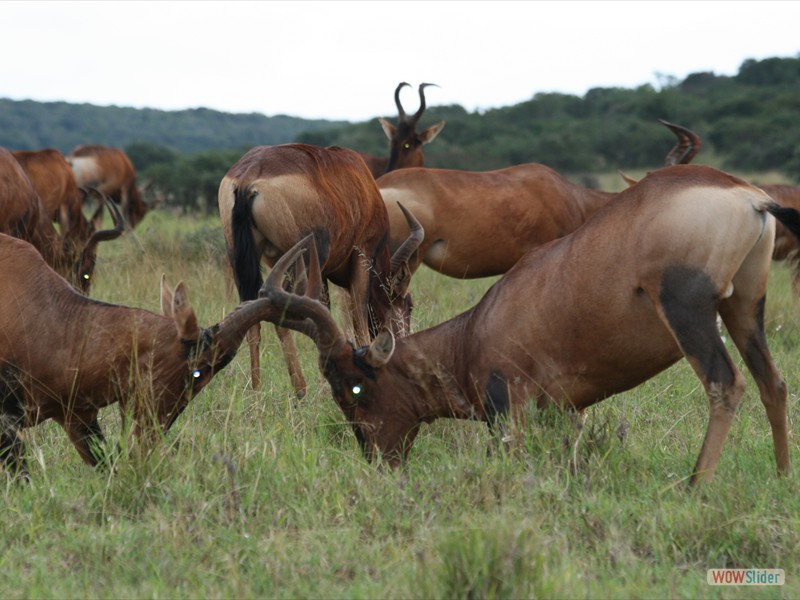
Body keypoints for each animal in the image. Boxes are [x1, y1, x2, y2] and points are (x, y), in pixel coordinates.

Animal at [216, 143, 422, 396]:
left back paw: (256, 392)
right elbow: (357, 314)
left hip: (241, 258)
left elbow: (324, 309)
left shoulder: (321, 272)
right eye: (408, 304)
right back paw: (300, 389)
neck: (362, 183)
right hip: (300, 260)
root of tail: (249, 176)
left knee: (251, 314)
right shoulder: (361, 256)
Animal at [260, 165, 796, 488]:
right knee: (773, 382)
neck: (477, 328)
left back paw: (693, 486)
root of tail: (750, 198)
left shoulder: (509, 410)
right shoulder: (565, 412)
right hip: (745, 306)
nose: (380, 464)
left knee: (726, 384)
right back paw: (782, 476)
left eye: (352, 388)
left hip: (689, 308)